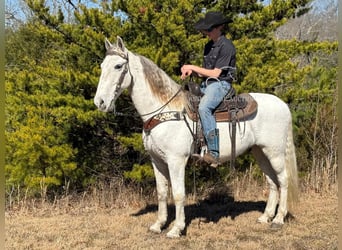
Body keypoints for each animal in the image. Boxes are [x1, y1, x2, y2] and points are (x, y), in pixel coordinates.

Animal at [95, 36, 298, 237]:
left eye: (118, 66)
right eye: (102, 65)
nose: (100, 102)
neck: (164, 110)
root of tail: (283, 105)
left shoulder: (176, 160)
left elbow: (178, 194)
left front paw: (176, 229)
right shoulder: (157, 160)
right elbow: (162, 192)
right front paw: (158, 225)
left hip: (275, 152)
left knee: (283, 179)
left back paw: (278, 219)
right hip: (260, 152)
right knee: (272, 181)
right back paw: (265, 217)